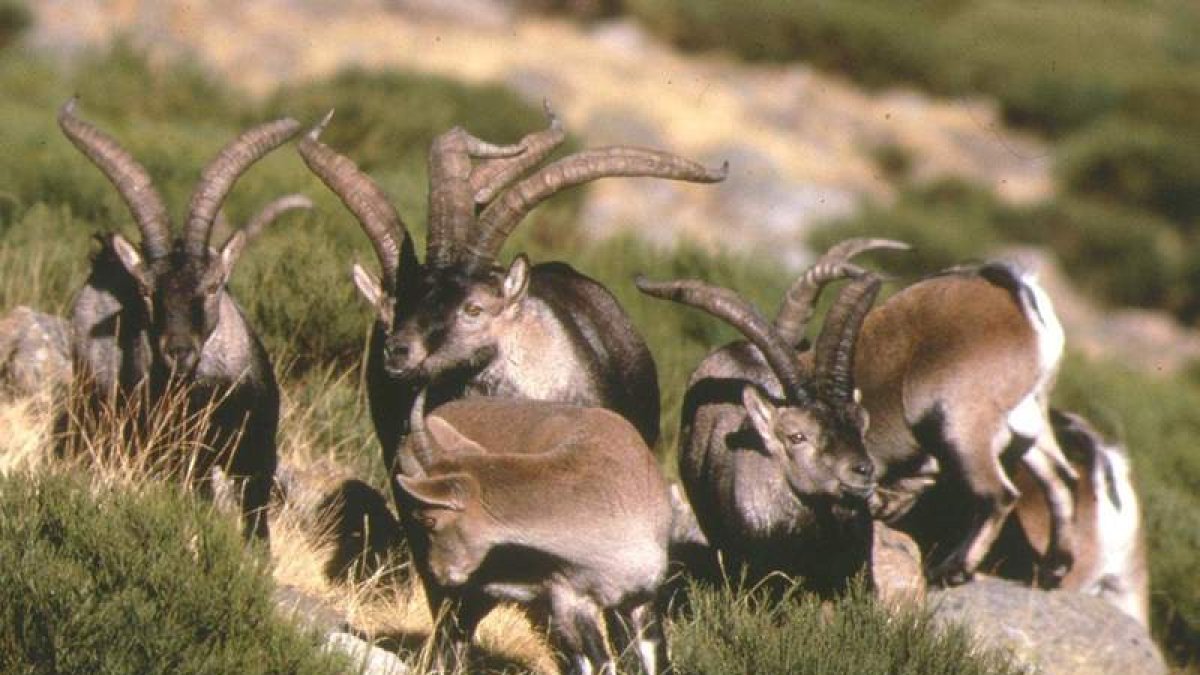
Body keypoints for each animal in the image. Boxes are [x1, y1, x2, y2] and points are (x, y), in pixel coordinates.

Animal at [57, 99, 298, 543]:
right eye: (146, 290)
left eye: (213, 285)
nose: (178, 351)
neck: (212, 390)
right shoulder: (185, 462)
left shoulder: (258, 458)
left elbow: (259, 530)